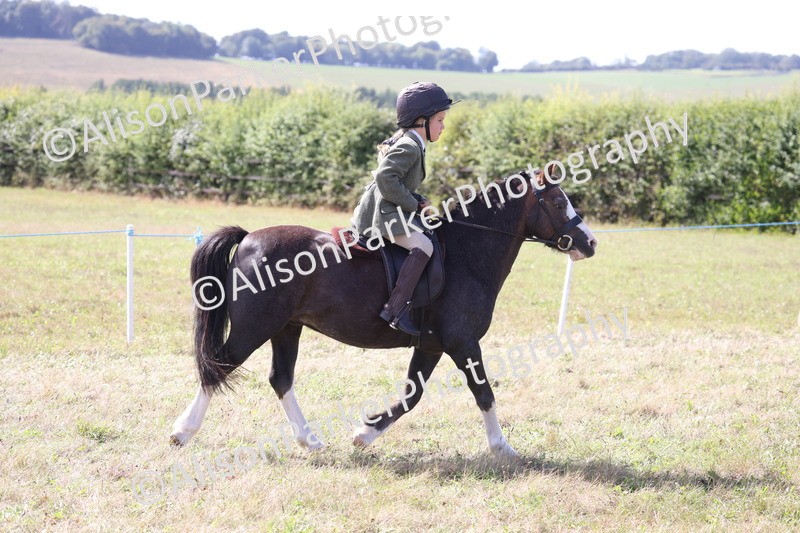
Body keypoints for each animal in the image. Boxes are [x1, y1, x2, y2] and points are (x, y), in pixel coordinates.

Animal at [170, 169, 598, 457]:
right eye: (558, 203)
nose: (590, 243)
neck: (467, 252)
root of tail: (248, 239)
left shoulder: (431, 346)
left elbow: (412, 395)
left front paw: (365, 433)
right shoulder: (463, 343)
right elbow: (483, 392)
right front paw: (502, 447)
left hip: (286, 328)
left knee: (280, 379)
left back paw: (310, 440)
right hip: (254, 328)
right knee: (217, 367)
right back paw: (182, 431)